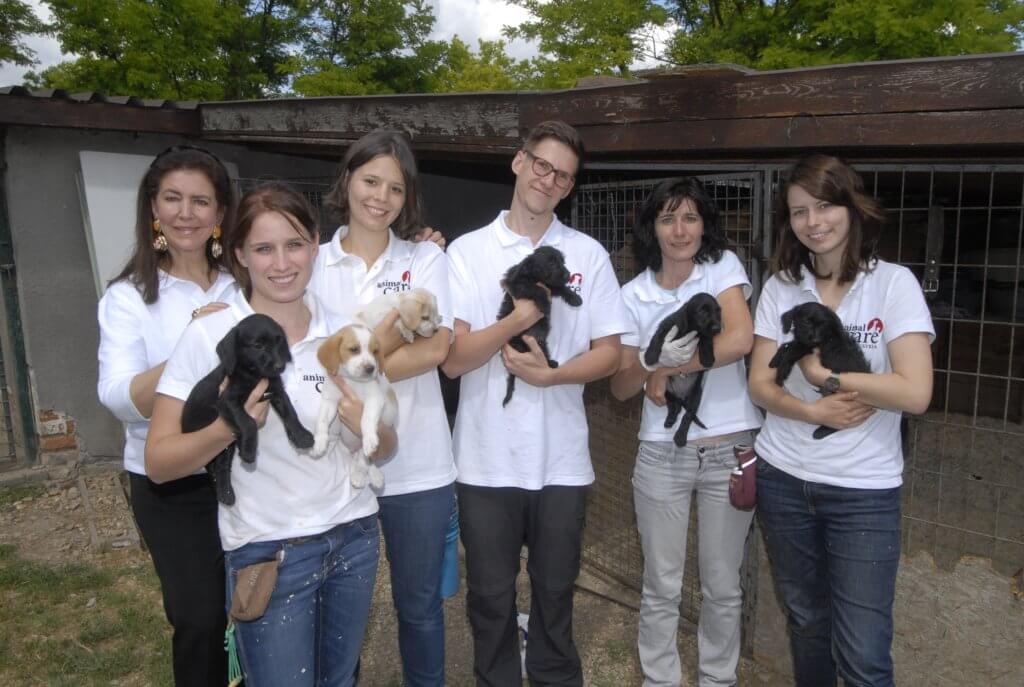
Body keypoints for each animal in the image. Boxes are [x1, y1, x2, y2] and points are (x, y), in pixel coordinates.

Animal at [181, 314, 315, 506]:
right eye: (258, 345)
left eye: (279, 342)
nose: (280, 366)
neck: (254, 375)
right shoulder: (228, 401)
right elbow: (248, 421)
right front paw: (250, 450)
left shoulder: (276, 391)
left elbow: (290, 412)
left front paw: (301, 435)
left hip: (225, 449)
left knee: (222, 467)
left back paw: (226, 494)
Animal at [313, 324, 397, 489]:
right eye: (354, 349)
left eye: (375, 351)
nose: (371, 368)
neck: (352, 381)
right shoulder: (330, 401)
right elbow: (322, 421)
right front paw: (319, 441)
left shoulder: (374, 399)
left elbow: (366, 420)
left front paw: (369, 439)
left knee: (366, 460)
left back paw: (368, 475)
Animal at [497, 246, 584, 406]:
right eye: (551, 263)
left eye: (562, 261)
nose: (568, 275)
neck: (535, 277)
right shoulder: (518, 285)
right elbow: (537, 289)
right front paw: (544, 304)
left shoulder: (552, 285)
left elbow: (561, 288)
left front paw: (575, 298)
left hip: (542, 344)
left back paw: (551, 363)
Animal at [643, 292, 722, 447]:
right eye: (702, 311)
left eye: (718, 311)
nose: (717, 328)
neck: (690, 329)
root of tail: (681, 396)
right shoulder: (667, 325)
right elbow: (657, 338)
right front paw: (649, 357)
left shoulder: (703, 335)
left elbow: (706, 339)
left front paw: (707, 357)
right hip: (665, 390)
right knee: (674, 406)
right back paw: (670, 420)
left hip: (696, 396)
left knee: (687, 415)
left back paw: (680, 437)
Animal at [768, 302, 871, 439]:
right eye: (806, 322)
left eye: (823, 324)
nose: (816, 339)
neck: (828, 335)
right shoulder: (803, 342)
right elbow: (786, 346)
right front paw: (775, 360)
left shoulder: (806, 347)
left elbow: (790, 352)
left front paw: (781, 374)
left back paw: (821, 432)